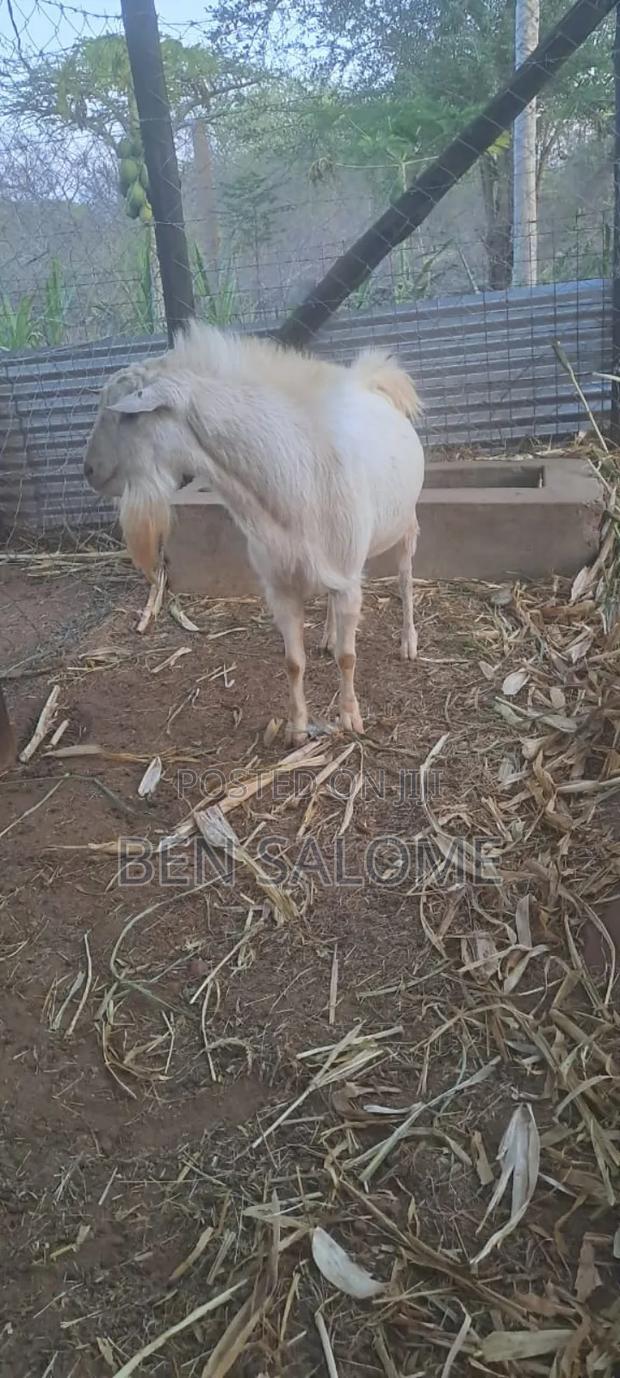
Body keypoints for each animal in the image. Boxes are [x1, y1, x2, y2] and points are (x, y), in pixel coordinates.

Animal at [84, 322, 425, 744]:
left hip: (406, 522)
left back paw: (408, 641)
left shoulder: (348, 580)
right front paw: (296, 730)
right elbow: (293, 662)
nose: (89, 470)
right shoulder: (280, 587)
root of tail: (372, 378)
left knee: (406, 576)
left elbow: (349, 657)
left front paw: (350, 718)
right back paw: (328, 637)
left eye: (128, 417)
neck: (293, 472)